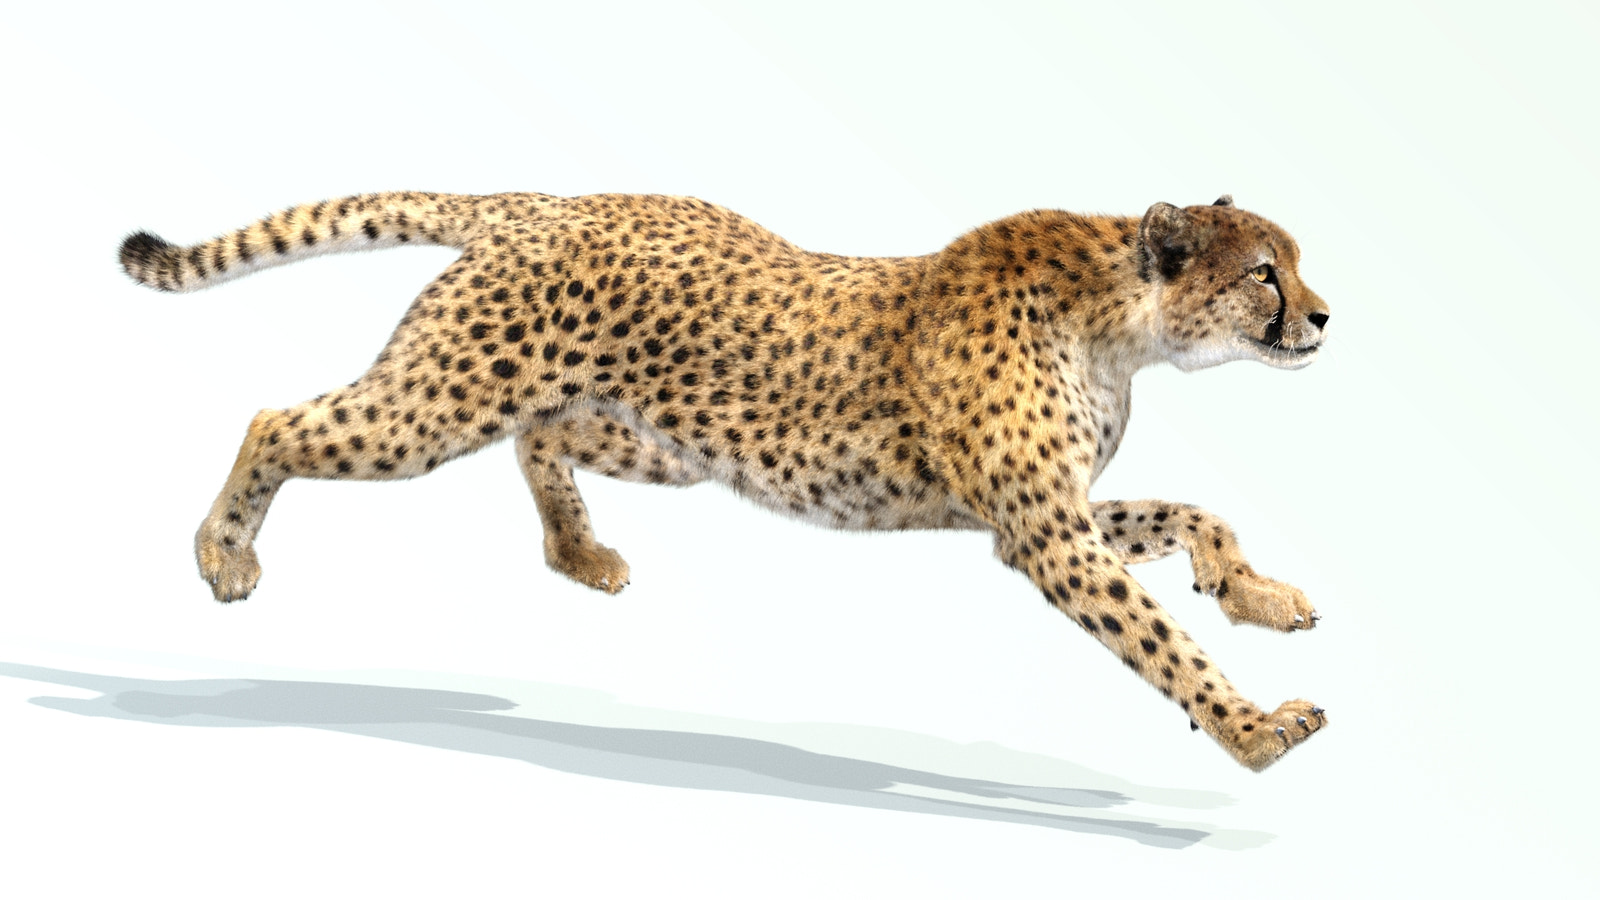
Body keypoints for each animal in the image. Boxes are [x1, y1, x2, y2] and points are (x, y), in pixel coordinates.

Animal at [118, 190, 1331, 770]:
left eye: (1295, 263)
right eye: (1264, 272)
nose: (1324, 317)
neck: (1122, 323)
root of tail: (545, 202)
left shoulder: (1048, 515)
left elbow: (1196, 516)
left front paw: (1261, 596)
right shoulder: (1043, 529)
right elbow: (1160, 641)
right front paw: (1248, 725)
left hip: (668, 441)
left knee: (540, 438)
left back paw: (579, 551)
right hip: (443, 401)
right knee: (279, 419)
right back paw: (222, 554)